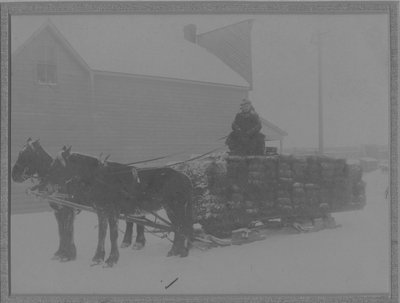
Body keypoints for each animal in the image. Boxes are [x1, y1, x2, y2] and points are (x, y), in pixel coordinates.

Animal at [48, 145, 194, 266]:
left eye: (58, 165)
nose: (47, 185)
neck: (101, 178)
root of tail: (185, 177)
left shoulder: (112, 212)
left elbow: (113, 235)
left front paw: (111, 259)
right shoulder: (101, 211)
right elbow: (102, 234)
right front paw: (98, 258)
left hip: (175, 207)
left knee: (182, 227)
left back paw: (181, 252)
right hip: (172, 209)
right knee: (178, 228)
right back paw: (176, 251)